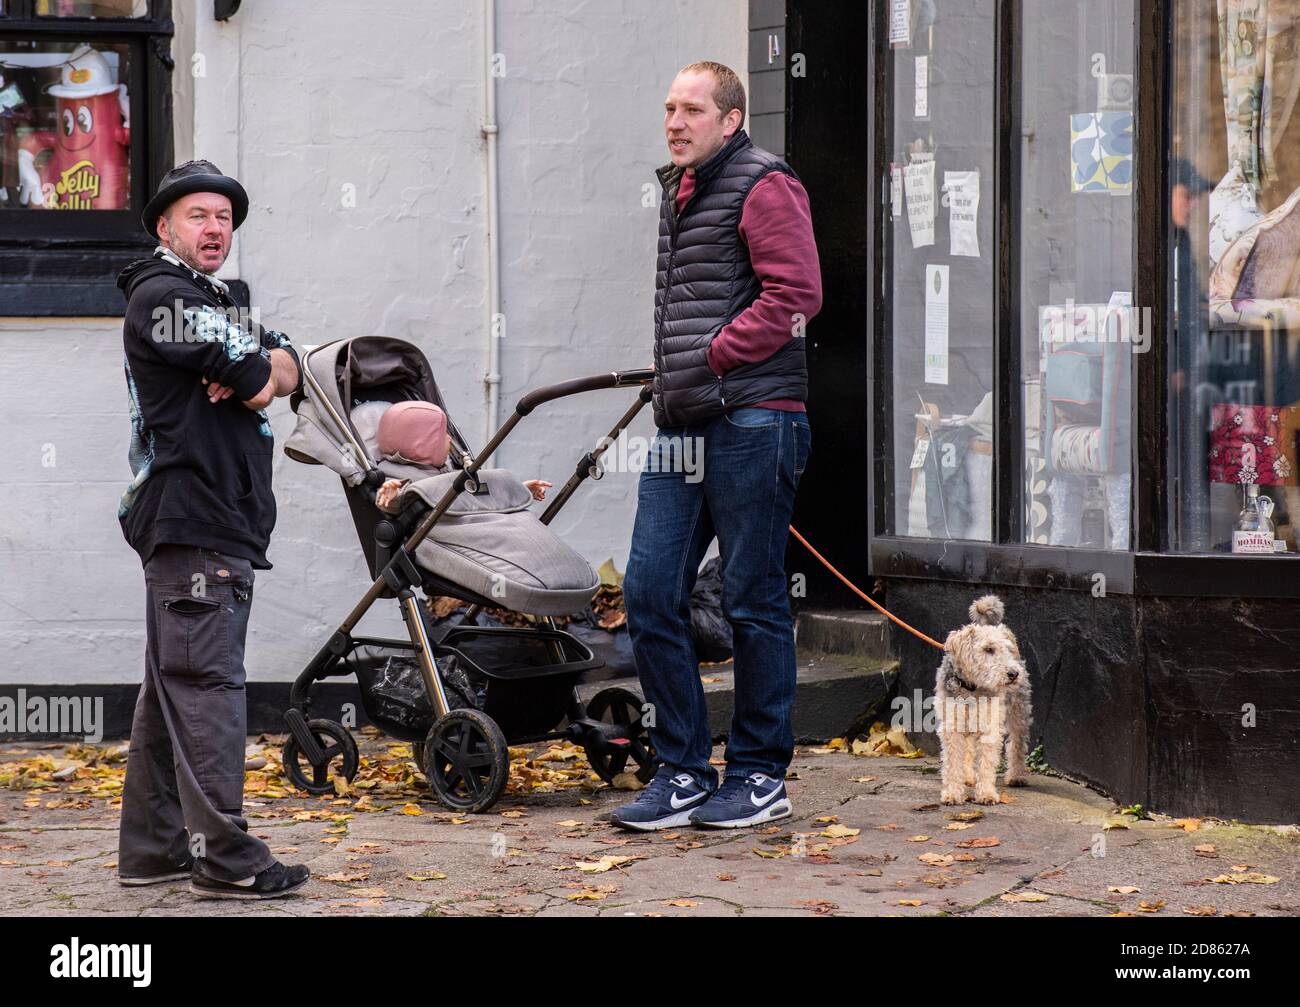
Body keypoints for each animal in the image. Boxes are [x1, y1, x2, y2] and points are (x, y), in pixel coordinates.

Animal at [941, 597, 1029, 805]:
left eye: (1009, 650)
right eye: (989, 649)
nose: (1013, 674)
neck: (972, 688)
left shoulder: (990, 727)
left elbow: (987, 763)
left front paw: (987, 794)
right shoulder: (952, 727)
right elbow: (953, 763)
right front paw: (953, 793)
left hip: (1018, 714)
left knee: (1017, 745)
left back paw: (1016, 776)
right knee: (968, 751)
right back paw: (967, 777)